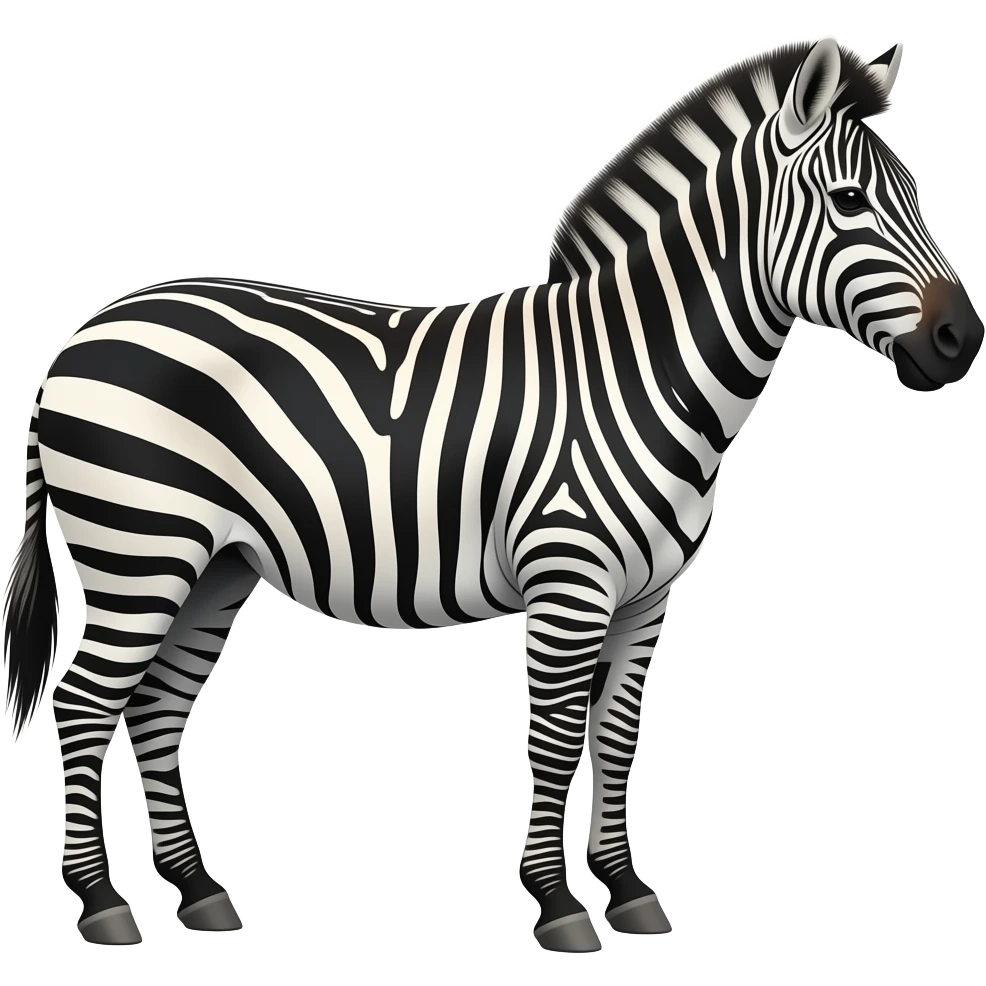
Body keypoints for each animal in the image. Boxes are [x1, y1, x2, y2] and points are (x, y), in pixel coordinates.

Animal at [2, 37, 982, 952]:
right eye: (850, 202)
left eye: (916, 192)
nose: (961, 341)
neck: (642, 374)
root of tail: (79, 336)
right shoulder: (568, 580)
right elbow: (552, 736)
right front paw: (559, 905)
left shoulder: (647, 598)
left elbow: (615, 737)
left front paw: (627, 891)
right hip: (140, 549)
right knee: (84, 702)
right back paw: (102, 903)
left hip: (215, 564)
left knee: (155, 706)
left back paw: (200, 892)